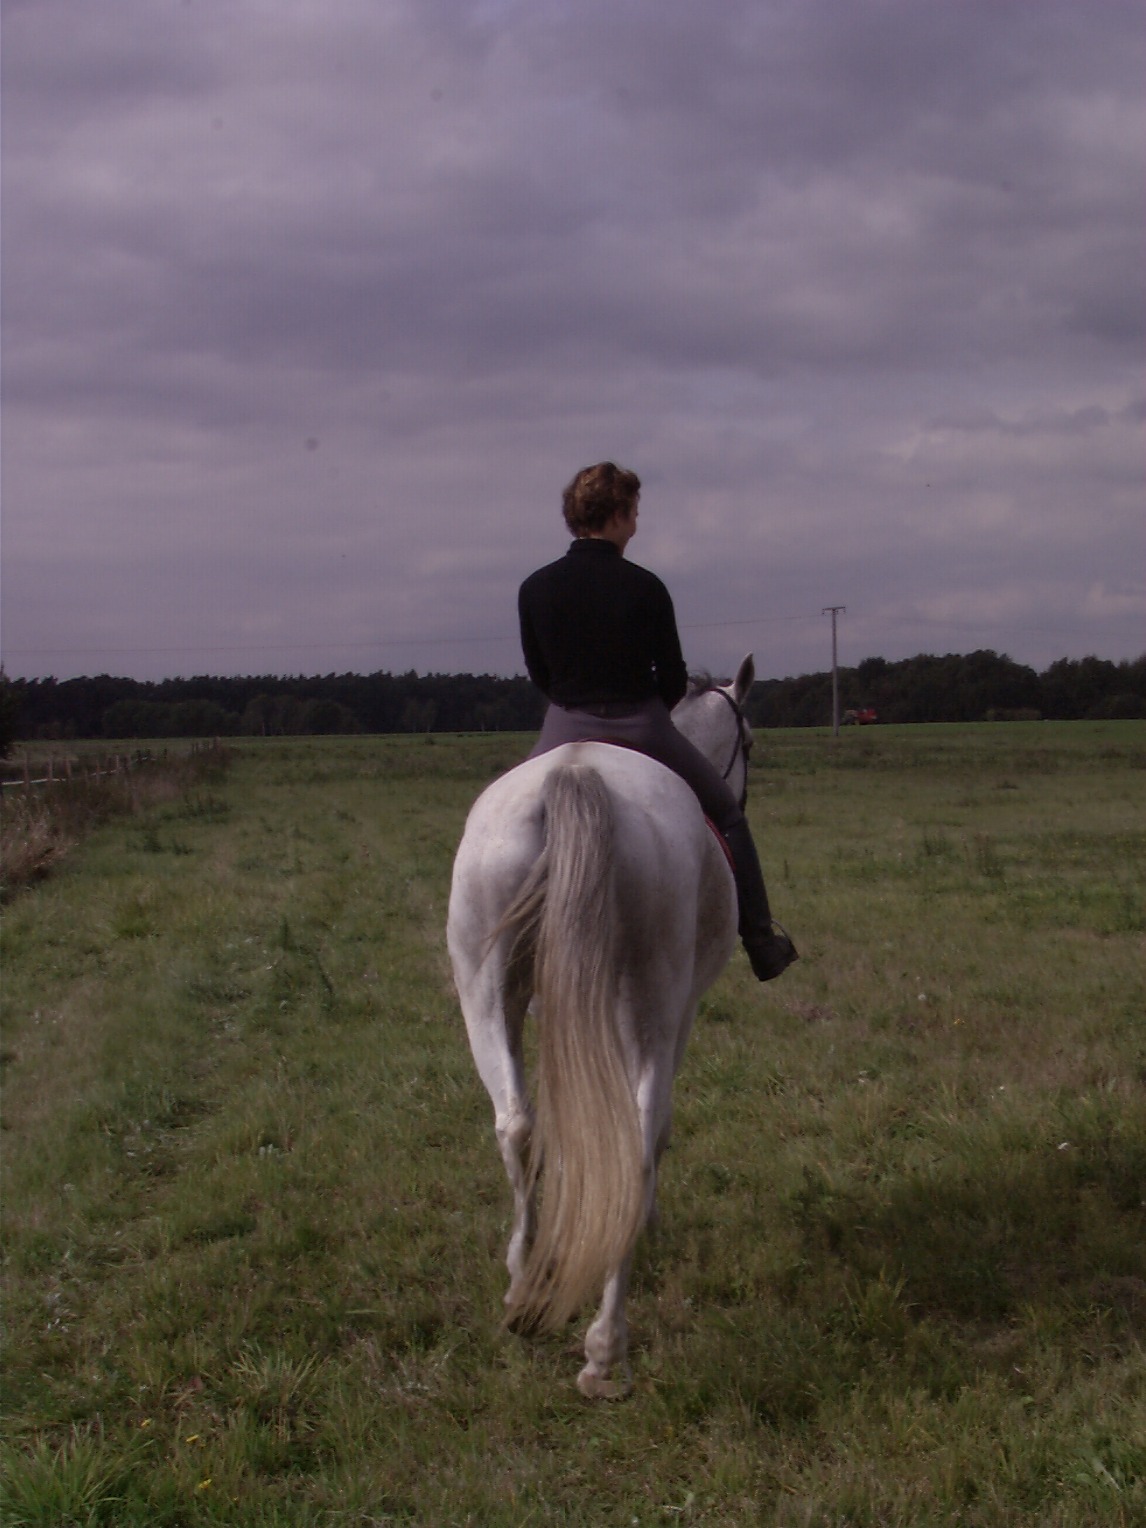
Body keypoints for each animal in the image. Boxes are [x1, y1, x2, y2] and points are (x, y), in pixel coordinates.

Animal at [446, 654, 757, 1397]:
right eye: (750, 743)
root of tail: (576, 774)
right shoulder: (680, 1014)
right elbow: (657, 1132)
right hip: (651, 1008)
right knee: (635, 1142)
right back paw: (605, 1348)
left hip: (485, 993)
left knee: (517, 1126)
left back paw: (524, 1287)